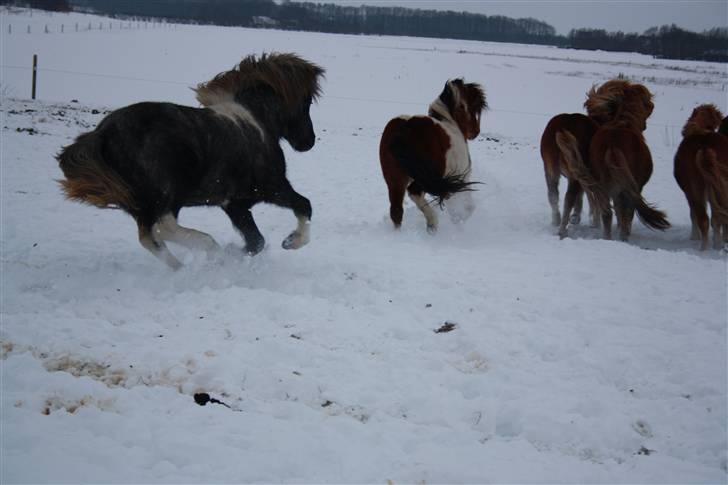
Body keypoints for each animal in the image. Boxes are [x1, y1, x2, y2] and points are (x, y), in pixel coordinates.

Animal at [58, 53, 326, 268]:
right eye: (306, 102)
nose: (308, 141)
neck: (256, 122)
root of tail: (103, 134)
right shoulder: (272, 187)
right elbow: (304, 205)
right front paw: (291, 241)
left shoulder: (235, 203)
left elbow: (255, 241)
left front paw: (237, 254)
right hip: (167, 192)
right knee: (161, 227)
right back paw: (210, 249)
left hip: (141, 203)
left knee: (149, 238)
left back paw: (182, 269)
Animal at [378, 79, 486, 233]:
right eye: (473, 108)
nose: (476, 132)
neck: (449, 122)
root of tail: (405, 128)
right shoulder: (462, 176)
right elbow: (468, 206)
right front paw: (459, 218)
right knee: (414, 193)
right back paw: (432, 224)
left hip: (395, 180)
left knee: (396, 210)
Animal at [564, 79, 672, 242]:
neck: (625, 121)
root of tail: (613, 145)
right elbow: (625, 215)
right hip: (628, 189)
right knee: (626, 215)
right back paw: (623, 238)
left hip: (603, 187)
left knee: (606, 212)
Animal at [672, 105, 728, 250]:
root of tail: (705, 146)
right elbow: (716, 219)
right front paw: (717, 243)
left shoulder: (689, 193)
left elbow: (693, 215)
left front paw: (694, 237)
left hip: (695, 190)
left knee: (703, 220)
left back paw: (704, 249)